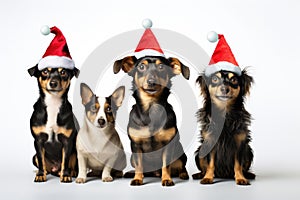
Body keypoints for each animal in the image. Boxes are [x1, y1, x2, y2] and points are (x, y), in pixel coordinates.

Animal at [114, 55, 190, 186]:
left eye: (161, 67)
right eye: (141, 67)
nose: (151, 81)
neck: (151, 108)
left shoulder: (168, 145)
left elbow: (166, 165)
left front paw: (167, 179)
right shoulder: (136, 145)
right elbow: (139, 165)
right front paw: (137, 179)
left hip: (180, 153)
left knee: (181, 166)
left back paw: (182, 174)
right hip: (132, 158)